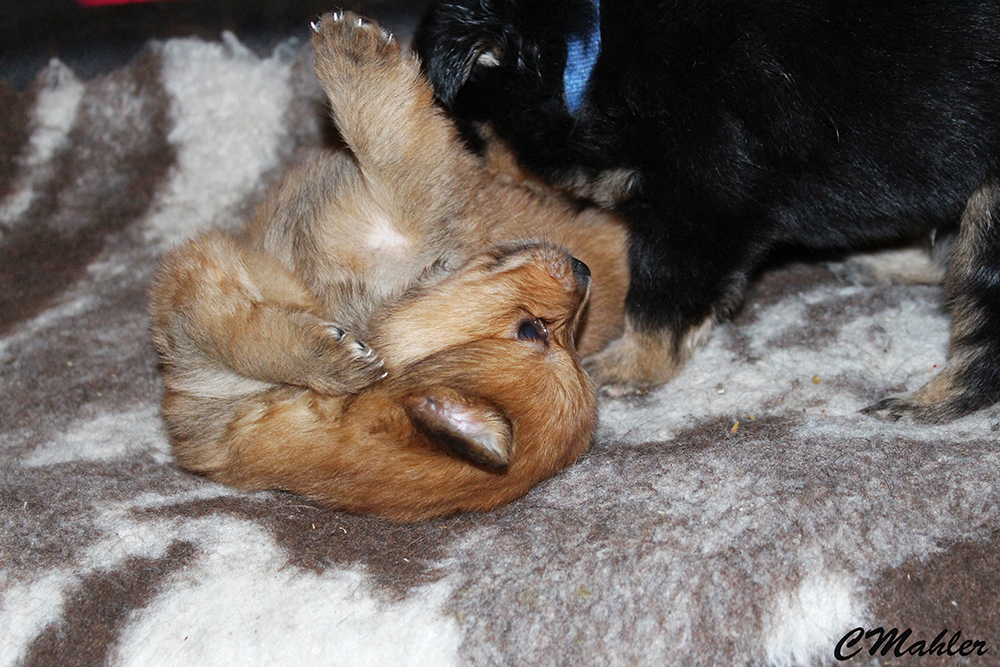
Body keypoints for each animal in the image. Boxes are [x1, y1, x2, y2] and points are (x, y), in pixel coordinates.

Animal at [416, 0, 1000, 422]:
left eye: (463, 132)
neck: (591, 58)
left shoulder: (698, 210)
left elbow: (657, 302)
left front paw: (625, 366)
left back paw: (929, 401)